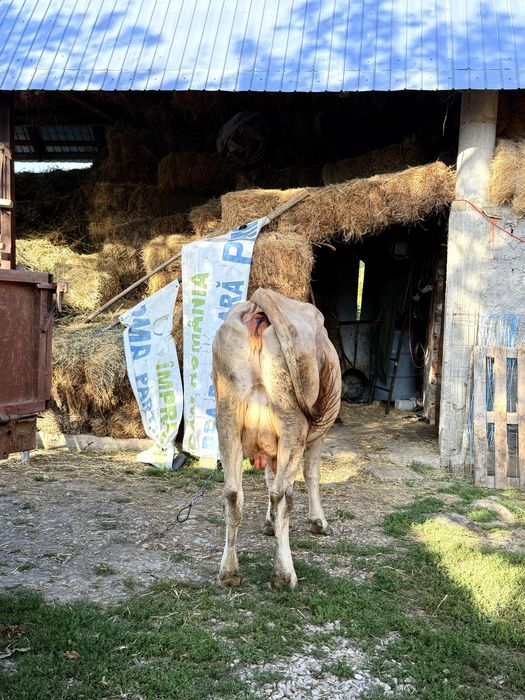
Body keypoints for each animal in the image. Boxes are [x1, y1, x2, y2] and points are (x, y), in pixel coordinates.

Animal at [212, 288, 341, 589]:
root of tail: (258, 305)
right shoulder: (317, 435)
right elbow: (312, 474)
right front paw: (318, 522)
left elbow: (268, 478)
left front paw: (268, 524)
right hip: (293, 423)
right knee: (282, 495)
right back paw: (284, 575)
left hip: (227, 418)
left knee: (233, 494)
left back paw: (228, 572)